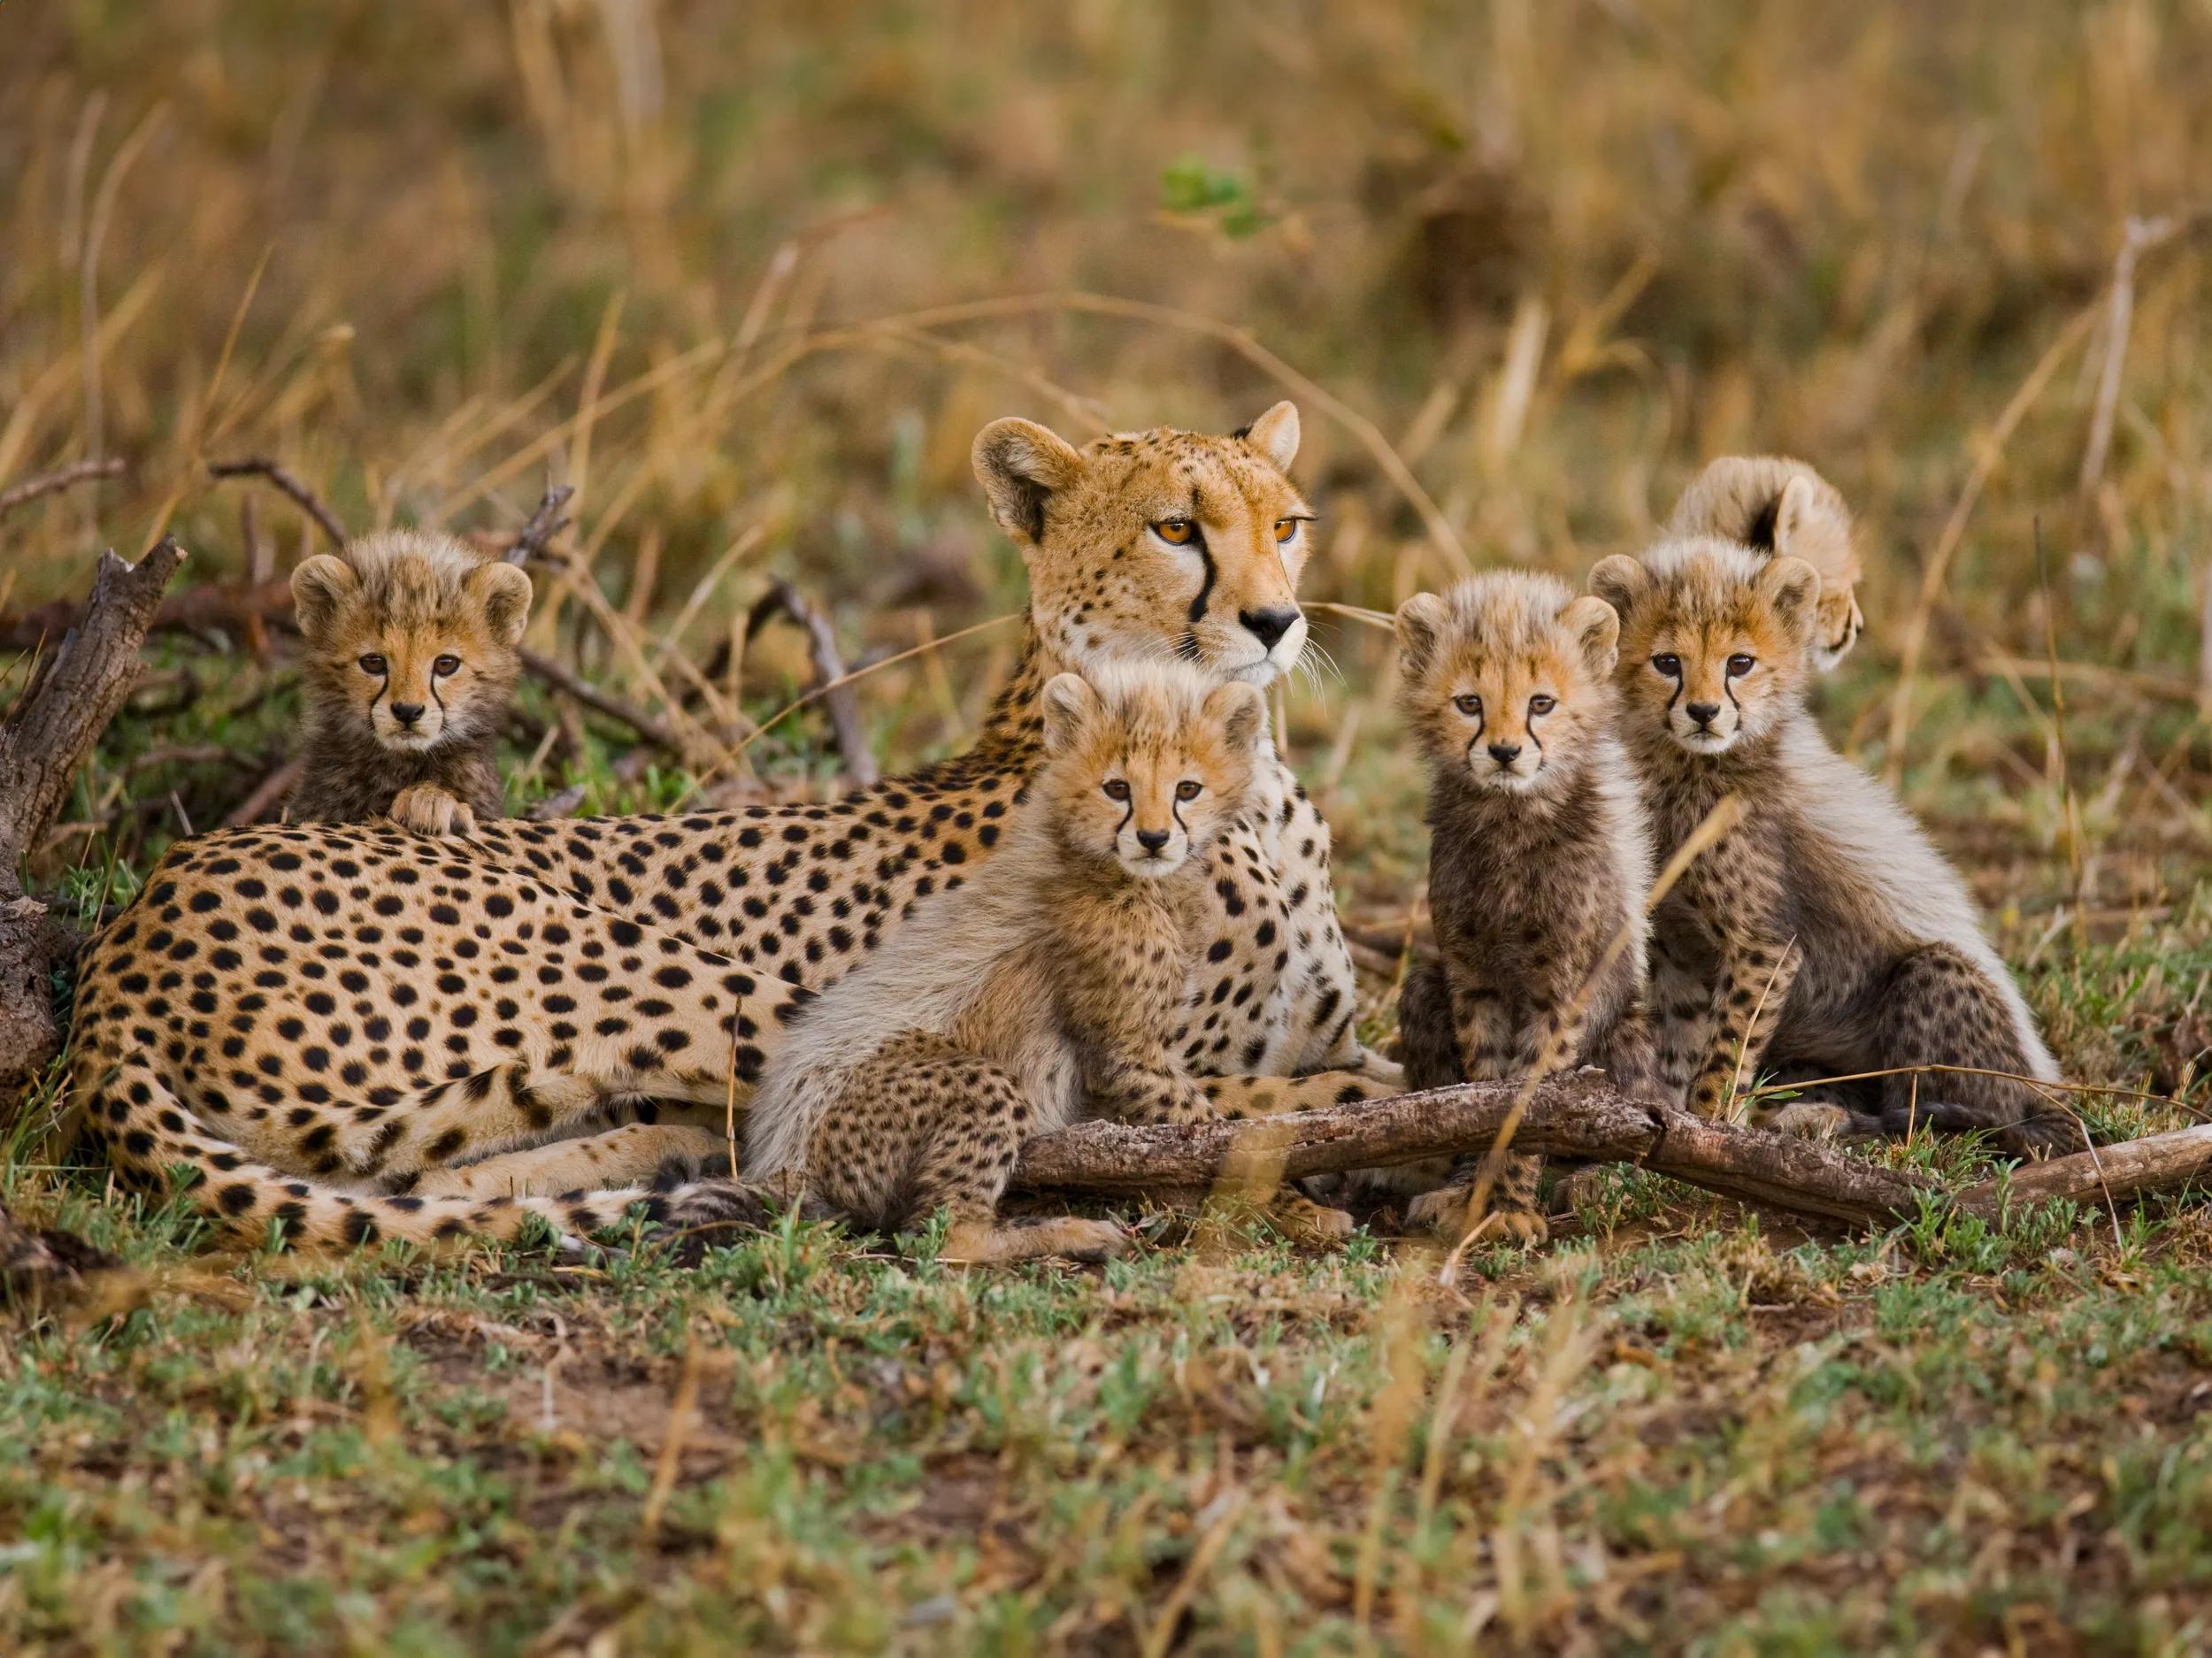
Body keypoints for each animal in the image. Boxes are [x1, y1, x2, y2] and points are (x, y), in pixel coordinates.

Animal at [744, 663, 1364, 1264]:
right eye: (1117, 788)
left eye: (1187, 788)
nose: (1154, 838)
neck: (1109, 869)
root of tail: (782, 1157)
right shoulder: (1129, 1057)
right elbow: (1212, 1134)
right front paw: (1298, 1209)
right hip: (965, 1084)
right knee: (944, 1234)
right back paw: (1070, 1234)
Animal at [1379, 572, 1654, 1244]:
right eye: (1469, 703)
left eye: (1542, 704)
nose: (1504, 752)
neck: (1511, 820)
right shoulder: (1471, 975)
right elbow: (1481, 1091)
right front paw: (1478, 1196)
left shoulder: (1563, 989)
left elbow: (1530, 1099)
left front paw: (1509, 1205)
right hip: (1424, 987)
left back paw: (1598, 1180)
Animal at [1589, 539, 2072, 1153]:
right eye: (1667, 662)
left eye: (1739, 663)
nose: (1703, 713)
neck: (1689, 768)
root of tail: (2047, 1089)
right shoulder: (1680, 947)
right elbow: (1682, 1041)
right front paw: (1667, 1123)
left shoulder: (1765, 946)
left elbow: (1728, 1050)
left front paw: (1709, 1126)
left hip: (1937, 985)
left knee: (1932, 1122)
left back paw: (1821, 1119)